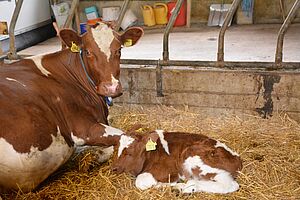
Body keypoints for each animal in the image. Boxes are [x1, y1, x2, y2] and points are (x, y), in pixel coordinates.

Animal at [0, 22, 143, 192]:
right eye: (87, 52)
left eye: (119, 50)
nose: (111, 88)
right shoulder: (81, 128)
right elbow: (123, 136)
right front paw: (93, 159)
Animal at [111, 130, 243, 194]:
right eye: (116, 149)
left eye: (129, 153)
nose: (114, 168)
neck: (151, 153)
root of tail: (238, 159)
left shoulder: (167, 171)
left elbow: (141, 182)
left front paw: (164, 184)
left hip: (195, 158)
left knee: (231, 185)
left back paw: (185, 187)